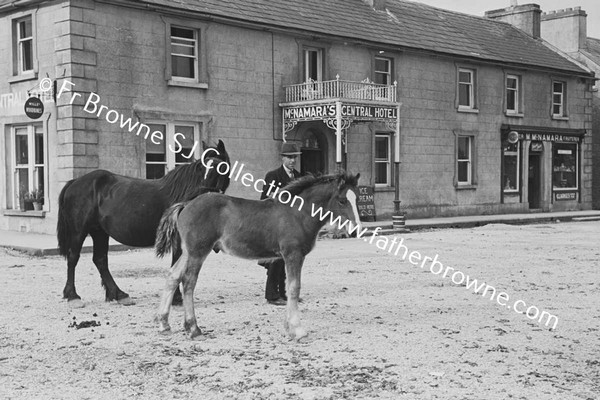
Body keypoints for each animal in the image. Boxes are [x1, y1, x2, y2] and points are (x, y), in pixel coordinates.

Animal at [56, 139, 230, 308]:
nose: (204, 193)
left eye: (220, 166)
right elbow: (176, 263)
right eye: (202, 166)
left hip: (99, 232)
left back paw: (119, 294)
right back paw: (73, 296)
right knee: (73, 257)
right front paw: (176, 298)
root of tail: (74, 182)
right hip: (79, 231)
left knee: (100, 260)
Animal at [156, 172, 360, 340]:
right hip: (198, 251)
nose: (355, 230)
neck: (297, 213)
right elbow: (294, 288)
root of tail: (186, 205)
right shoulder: (293, 254)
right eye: (342, 200)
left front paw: (288, 328)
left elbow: (289, 287)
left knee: (173, 276)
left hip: (188, 252)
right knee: (188, 282)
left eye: (357, 198)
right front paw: (298, 331)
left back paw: (164, 324)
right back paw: (193, 329)